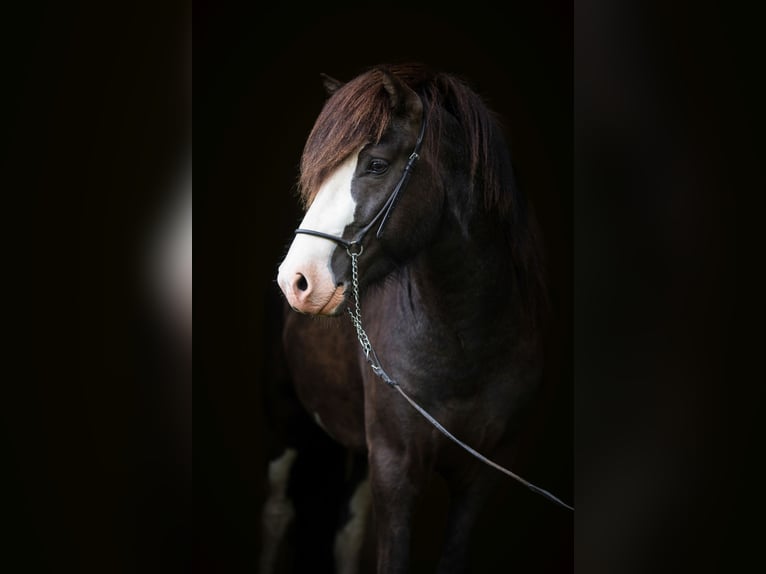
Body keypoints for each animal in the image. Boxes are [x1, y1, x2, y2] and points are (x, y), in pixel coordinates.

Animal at [261, 63, 570, 574]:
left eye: (376, 164)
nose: (296, 280)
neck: (468, 344)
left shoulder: (479, 478)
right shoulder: (396, 471)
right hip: (286, 421)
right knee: (279, 513)